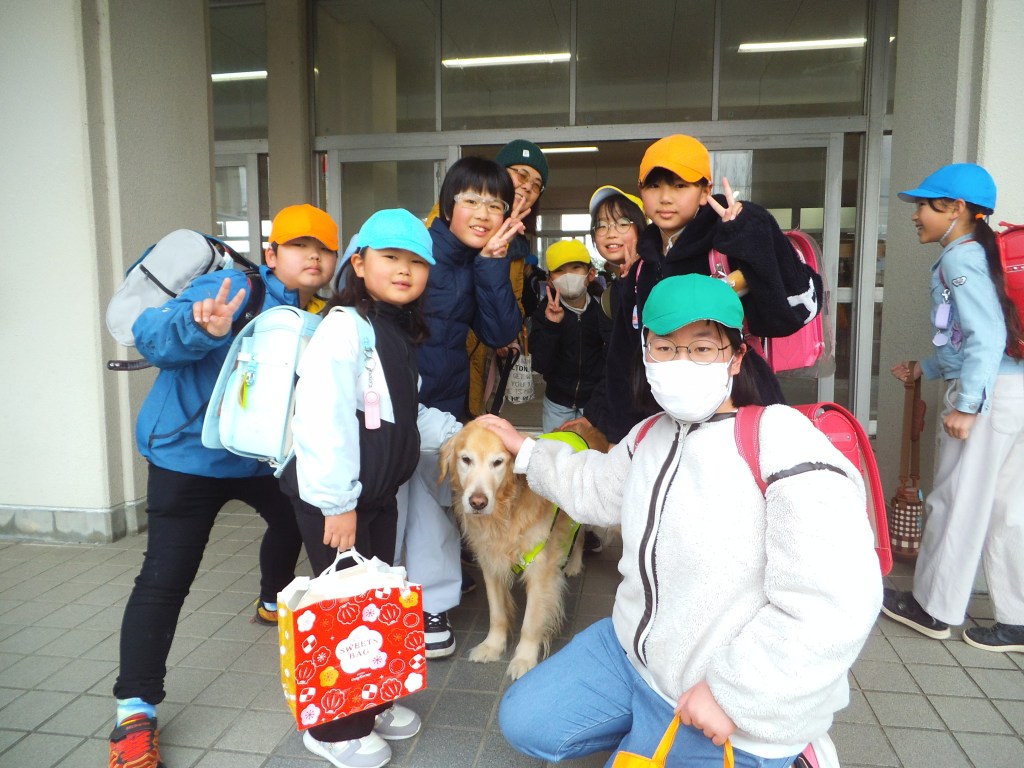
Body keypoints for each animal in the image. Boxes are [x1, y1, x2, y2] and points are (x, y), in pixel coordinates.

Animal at [440, 420, 609, 679]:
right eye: (466, 459)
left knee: (580, 536)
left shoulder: (539, 570)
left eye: (498, 462)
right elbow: (497, 613)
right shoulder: (490, 563)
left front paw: (524, 659)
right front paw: (492, 646)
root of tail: (584, 425)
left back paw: (573, 564)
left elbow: (531, 622)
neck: (505, 513)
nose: (477, 502)